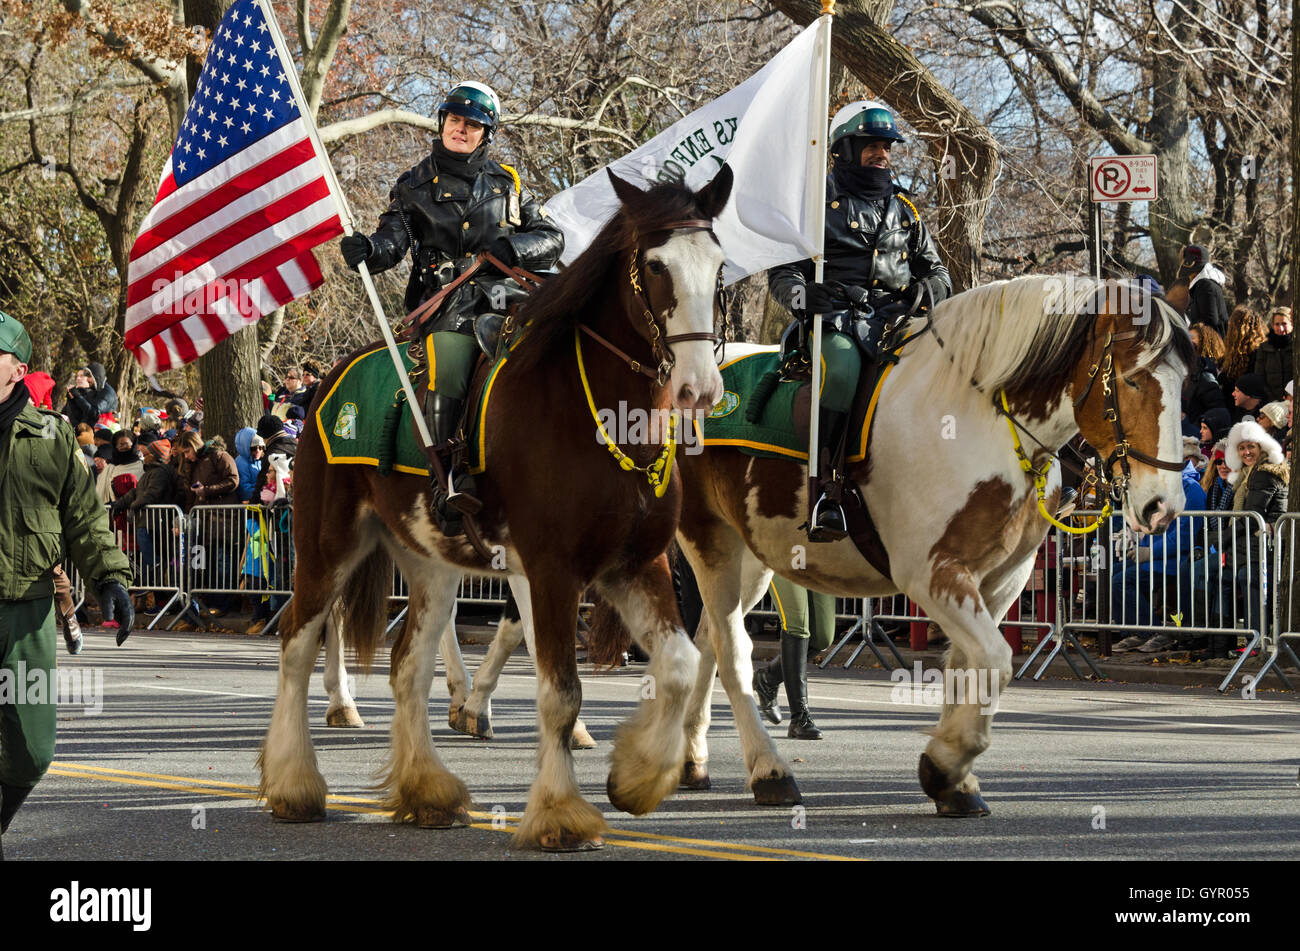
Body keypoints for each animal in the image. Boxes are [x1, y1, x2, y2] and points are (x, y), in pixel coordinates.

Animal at [258, 163, 738, 847]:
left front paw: (639, 778)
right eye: (656, 264)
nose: (700, 388)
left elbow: (678, 665)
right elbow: (560, 692)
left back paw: (427, 791)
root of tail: (328, 380)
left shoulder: (635, 565)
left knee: (409, 667)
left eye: (718, 264)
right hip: (326, 546)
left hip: (429, 562)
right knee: (297, 643)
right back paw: (295, 784)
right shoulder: (554, 571)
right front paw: (561, 812)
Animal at [670, 272, 1196, 810]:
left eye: (1183, 382)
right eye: (1132, 379)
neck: (981, 419)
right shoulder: (930, 574)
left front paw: (953, 778)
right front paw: (947, 762)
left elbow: (973, 669)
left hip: (751, 558)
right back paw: (769, 770)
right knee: (731, 652)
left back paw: (692, 759)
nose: (1164, 507)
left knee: (707, 641)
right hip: (707, 539)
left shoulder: (1000, 581)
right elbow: (995, 661)